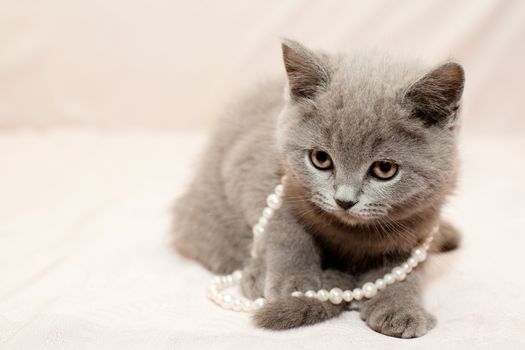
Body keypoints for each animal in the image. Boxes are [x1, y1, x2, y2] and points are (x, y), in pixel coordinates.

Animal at [173, 39, 462, 338]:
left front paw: (401, 309)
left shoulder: (418, 225)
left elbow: (403, 272)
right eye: (320, 159)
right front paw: (294, 282)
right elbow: (286, 229)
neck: (351, 235)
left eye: (385, 169)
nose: (344, 200)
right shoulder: (252, 168)